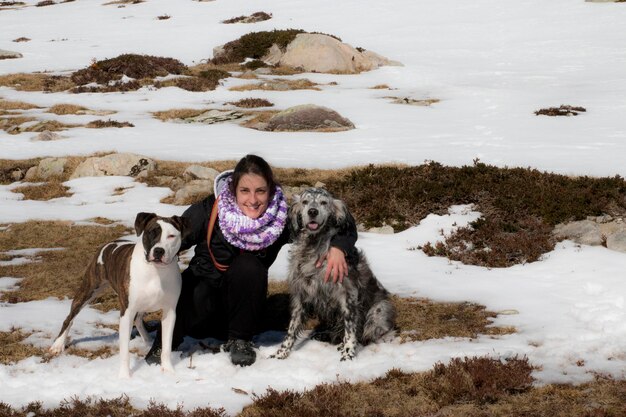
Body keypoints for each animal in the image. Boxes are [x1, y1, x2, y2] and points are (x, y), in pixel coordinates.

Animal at [49, 211, 186, 376]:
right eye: (151, 232)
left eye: (171, 236)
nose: (159, 251)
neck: (156, 271)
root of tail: (109, 243)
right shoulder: (126, 312)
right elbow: (125, 351)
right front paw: (125, 377)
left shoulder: (169, 312)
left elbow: (166, 346)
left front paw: (168, 370)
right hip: (88, 289)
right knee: (69, 318)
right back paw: (58, 344)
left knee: (138, 319)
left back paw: (147, 340)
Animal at [270, 187, 392, 360]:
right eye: (305, 202)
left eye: (323, 202)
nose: (312, 211)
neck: (313, 246)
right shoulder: (301, 294)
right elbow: (292, 328)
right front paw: (282, 352)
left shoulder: (348, 295)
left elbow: (350, 329)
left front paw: (348, 353)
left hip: (378, 311)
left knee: (367, 332)